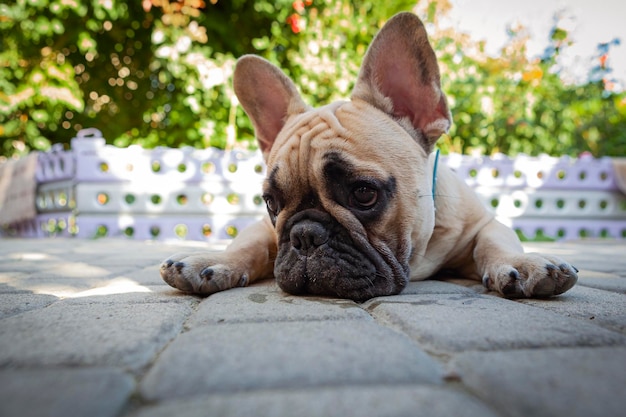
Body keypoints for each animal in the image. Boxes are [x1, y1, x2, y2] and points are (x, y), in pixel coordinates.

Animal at [160, 12, 576, 300]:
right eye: (271, 203)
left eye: (363, 193)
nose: (304, 236)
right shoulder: (264, 228)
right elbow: (247, 243)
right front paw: (212, 261)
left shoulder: (483, 224)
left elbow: (495, 243)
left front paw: (523, 264)